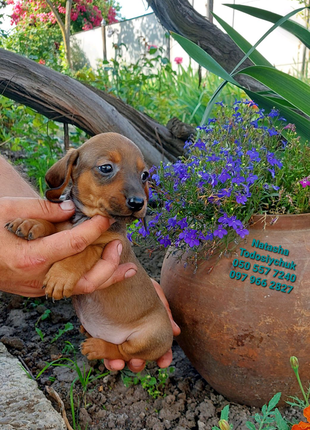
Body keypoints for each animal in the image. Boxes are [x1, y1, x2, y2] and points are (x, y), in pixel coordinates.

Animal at [6, 134, 173, 362]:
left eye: (145, 174)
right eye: (106, 168)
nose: (139, 203)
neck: (83, 218)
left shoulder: (108, 245)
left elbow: (84, 252)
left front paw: (61, 276)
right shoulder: (64, 227)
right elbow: (53, 225)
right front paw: (32, 223)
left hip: (148, 337)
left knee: (123, 351)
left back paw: (97, 347)